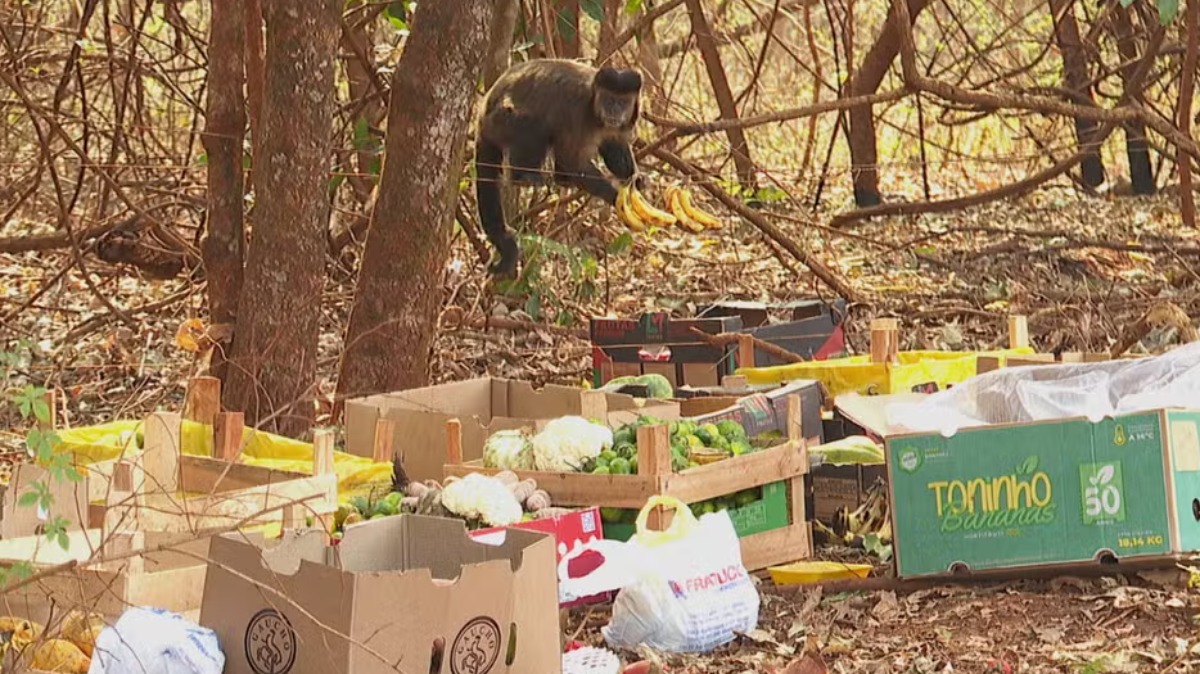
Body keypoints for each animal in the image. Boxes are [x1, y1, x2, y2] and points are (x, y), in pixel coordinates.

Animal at [470, 58, 643, 275]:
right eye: (609, 100)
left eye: (623, 102)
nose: (614, 110)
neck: (594, 108)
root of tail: (481, 114)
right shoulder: (577, 111)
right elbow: (573, 160)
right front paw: (615, 196)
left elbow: (614, 146)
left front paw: (635, 180)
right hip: (499, 121)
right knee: (533, 125)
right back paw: (525, 178)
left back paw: (562, 179)